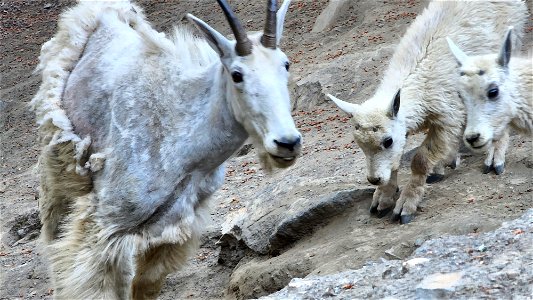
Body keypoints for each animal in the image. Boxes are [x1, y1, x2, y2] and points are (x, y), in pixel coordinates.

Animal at [31, 1, 302, 298]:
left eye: (285, 64)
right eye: (237, 74)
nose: (287, 143)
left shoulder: (176, 225)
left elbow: (145, 284)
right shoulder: (104, 226)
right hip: (58, 177)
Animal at [326, 1, 524, 224]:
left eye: (387, 141)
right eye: (359, 144)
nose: (374, 179)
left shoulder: (446, 116)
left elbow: (420, 160)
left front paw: (406, 205)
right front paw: (383, 197)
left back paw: (495, 157)